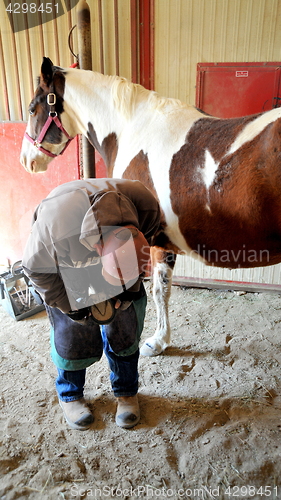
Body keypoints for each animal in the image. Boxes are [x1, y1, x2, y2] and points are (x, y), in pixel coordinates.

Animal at [20, 57, 281, 356]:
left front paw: (156, 341)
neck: (132, 129)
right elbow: (164, 289)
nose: (26, 161)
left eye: (32, 108)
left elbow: (157, 291)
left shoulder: (150, 239)